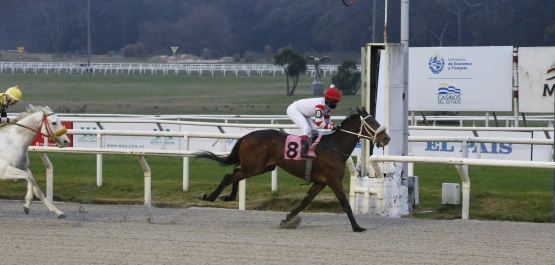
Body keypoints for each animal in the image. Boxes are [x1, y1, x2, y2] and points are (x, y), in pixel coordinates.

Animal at [195, 106, 390, 230]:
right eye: (372, 121)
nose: (386, 138)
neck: (334, 147)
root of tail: (247, 135)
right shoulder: (333, 180)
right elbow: (345, 204)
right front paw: (357, 227)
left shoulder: (320, 182)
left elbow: (305, 201)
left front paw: (287, 220)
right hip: (254, 167)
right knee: (229, 176)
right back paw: (209, 196)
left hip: (260, 167)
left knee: (235, 173)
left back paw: (228, 196)